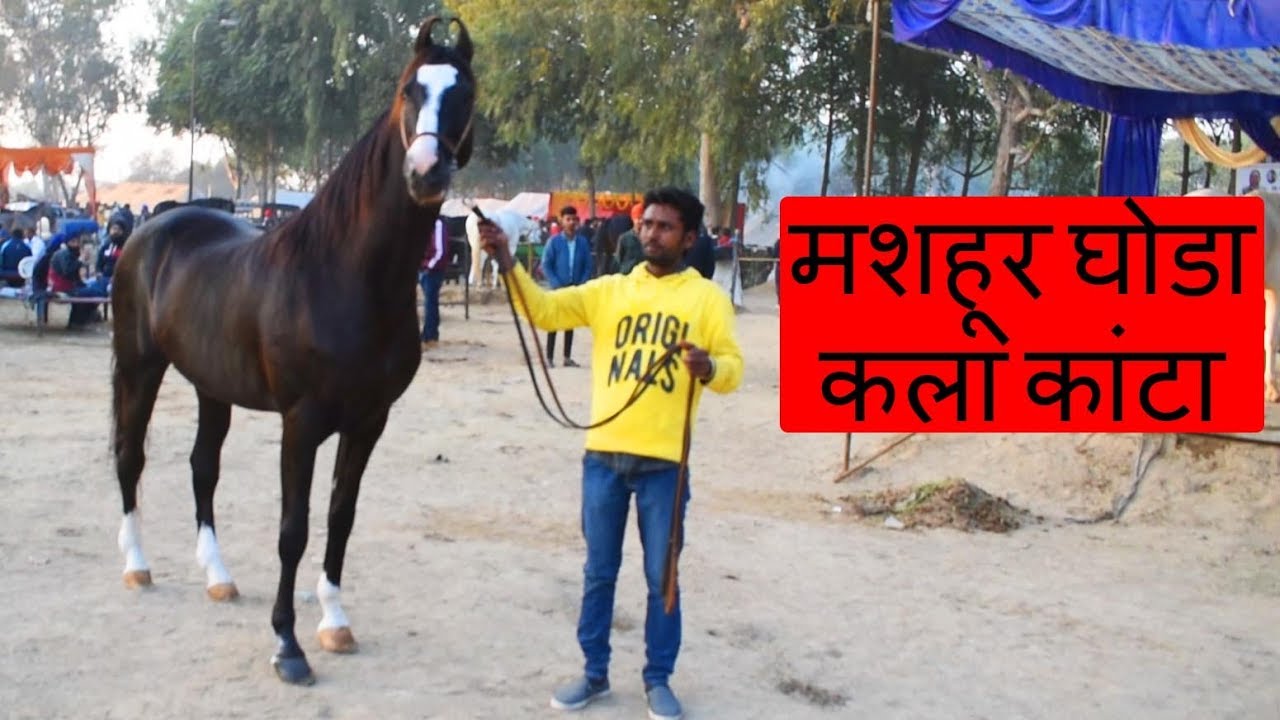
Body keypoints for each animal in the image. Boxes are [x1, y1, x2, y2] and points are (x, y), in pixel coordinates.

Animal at [108, 16, 475, 685]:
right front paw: (288, 645)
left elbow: (339, 520)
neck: (343, 275)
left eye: (464, 92)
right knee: (130, 457)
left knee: (202, 468)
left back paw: (219, 578)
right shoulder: (301, 424)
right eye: (409, 89)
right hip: (140, 368)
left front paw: (334, 622)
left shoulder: (368, 422)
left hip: (211, 387)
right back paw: (138, 566)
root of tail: (151, 230)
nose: (426, 170)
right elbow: (293, 530)